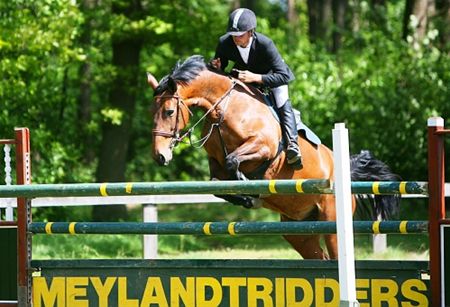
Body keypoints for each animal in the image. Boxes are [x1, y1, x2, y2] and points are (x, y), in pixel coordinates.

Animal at [146, 55, 400, 260]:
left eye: (169, 111)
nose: (160, 156)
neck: (224, 109)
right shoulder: (215, 161)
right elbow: (218, 184)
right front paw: (246, 197)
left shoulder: (262, 147)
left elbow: (233, 162)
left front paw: (248, 190)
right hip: (298, 232)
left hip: (331, 221)